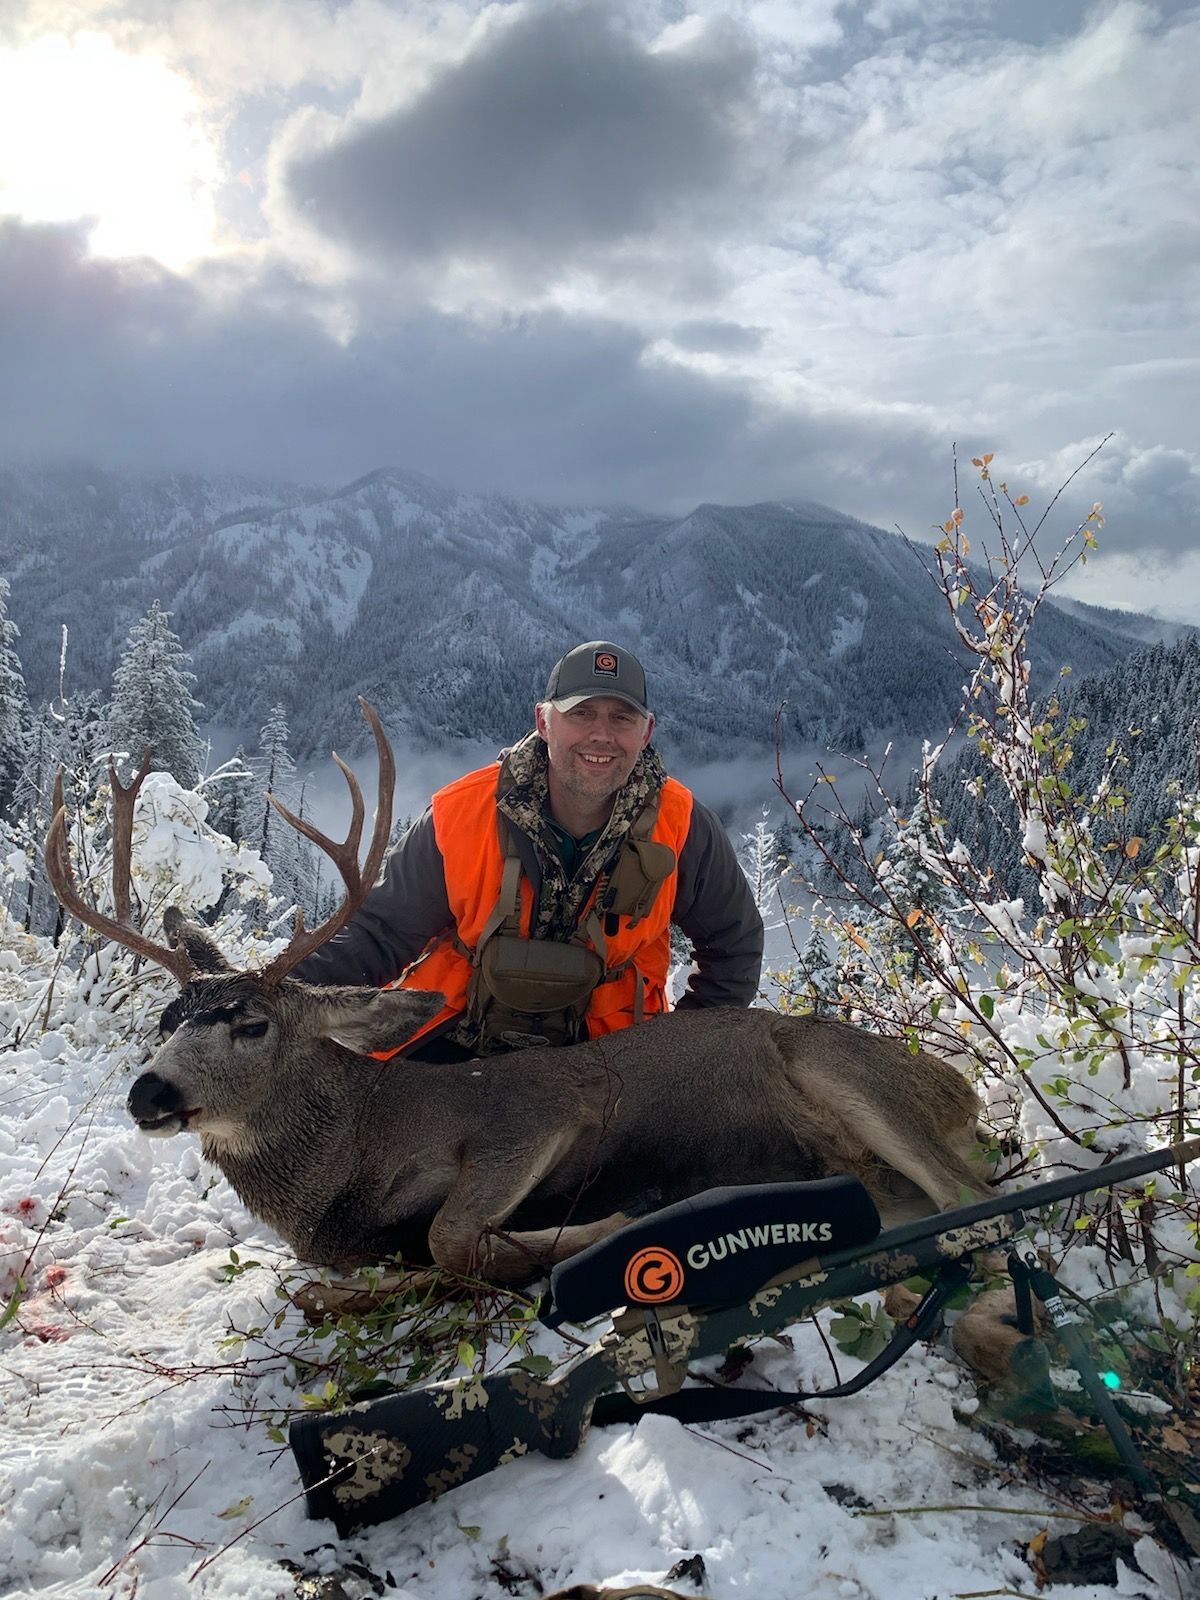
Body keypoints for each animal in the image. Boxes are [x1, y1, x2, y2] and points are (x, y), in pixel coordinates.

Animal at [45, 703, 987, 1287]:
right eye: (167, 1019)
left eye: (250, 1024)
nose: (149, 1092)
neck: (358, 1157)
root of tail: (963, 1089)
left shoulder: (531, 1114)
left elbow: (449, 1238)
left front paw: (616, 1226)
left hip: (843, 1071)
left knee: (968, 1195)